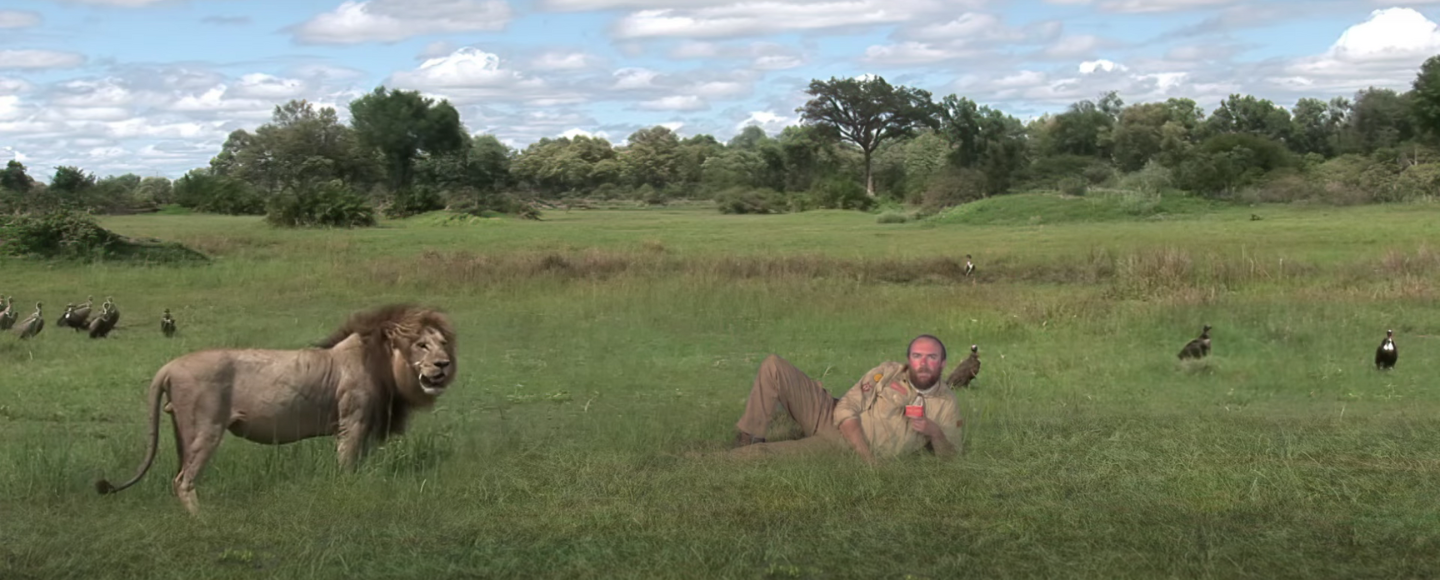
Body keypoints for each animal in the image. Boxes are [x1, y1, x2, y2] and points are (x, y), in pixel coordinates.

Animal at [95, 302, 452, 515]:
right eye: (422, 345)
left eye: (443, 344)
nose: (444, 364)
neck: (384, 364)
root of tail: (168, 366)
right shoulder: (353, 423)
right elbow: (347, 467)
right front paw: (348, 495)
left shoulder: (362, 428)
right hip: (205, 428)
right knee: (183, 479)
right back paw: (203, 519)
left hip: (184, 431)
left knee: (179, 475)